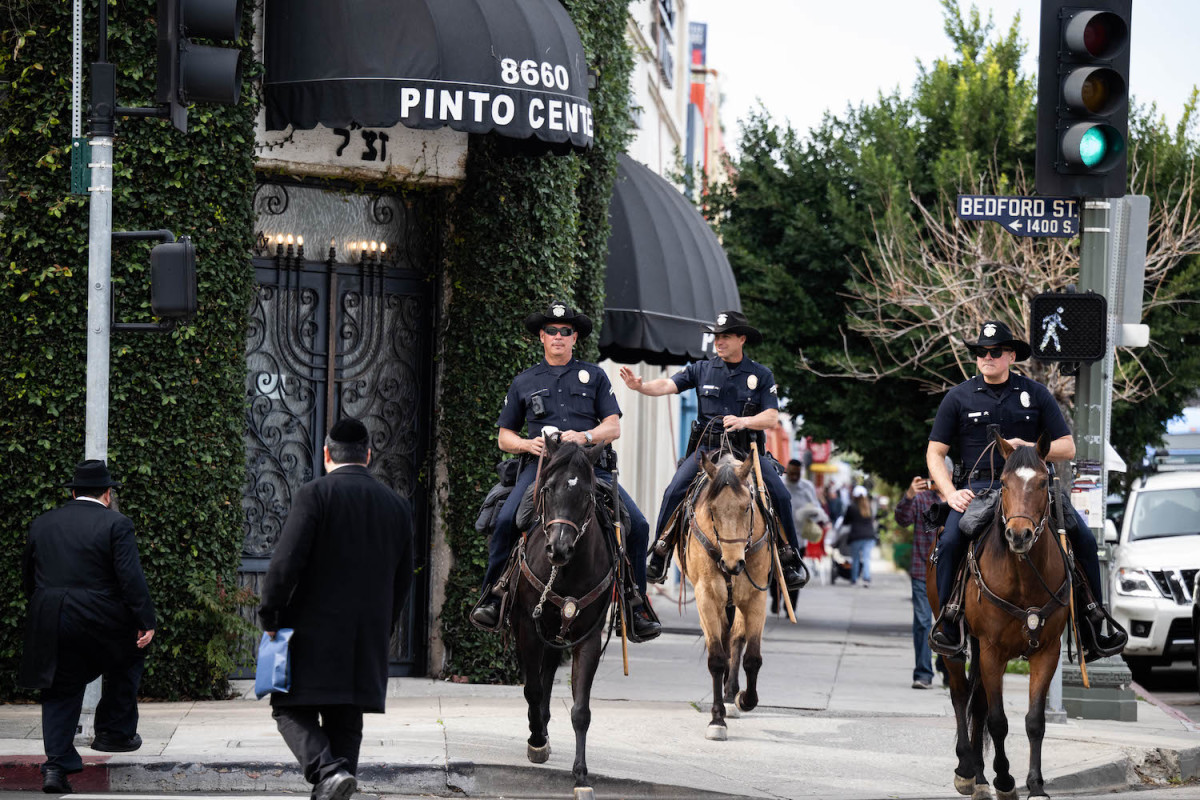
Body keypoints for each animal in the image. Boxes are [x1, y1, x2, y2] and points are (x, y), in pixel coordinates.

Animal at [508, 438, 619, 800]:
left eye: (586, 495)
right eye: (548, 488)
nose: (559, 549)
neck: (567, 572)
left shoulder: (588, 637)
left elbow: (580, 709)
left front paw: (581, 776)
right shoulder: (527, 628)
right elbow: (531, 688)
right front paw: (536, 742)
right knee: (537, 682)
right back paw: (538, 731)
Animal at [676, 453, 768, 743]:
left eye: (747, 508)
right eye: (712, 510)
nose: (732, 564)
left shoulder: (756, 597)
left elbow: (752, 657)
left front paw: (745, 699)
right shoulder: (705, 596)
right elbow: (716, 658)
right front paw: (717, 719)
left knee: (735, 638)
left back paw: (731, 695)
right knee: (725, 640)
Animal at [926, 431, 1070, 800]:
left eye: (1043, 481)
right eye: (1003, 483)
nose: (1018, 535)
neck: (1023, 575)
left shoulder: (1047, 651)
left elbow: (1034, 721)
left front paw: (1036, 785)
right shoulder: (993, 649)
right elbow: (998, 720)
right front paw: (1005, 780)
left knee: (977, 700)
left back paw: (978, 776)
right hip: (957, 641)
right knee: (961, 694)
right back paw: (966, 769)